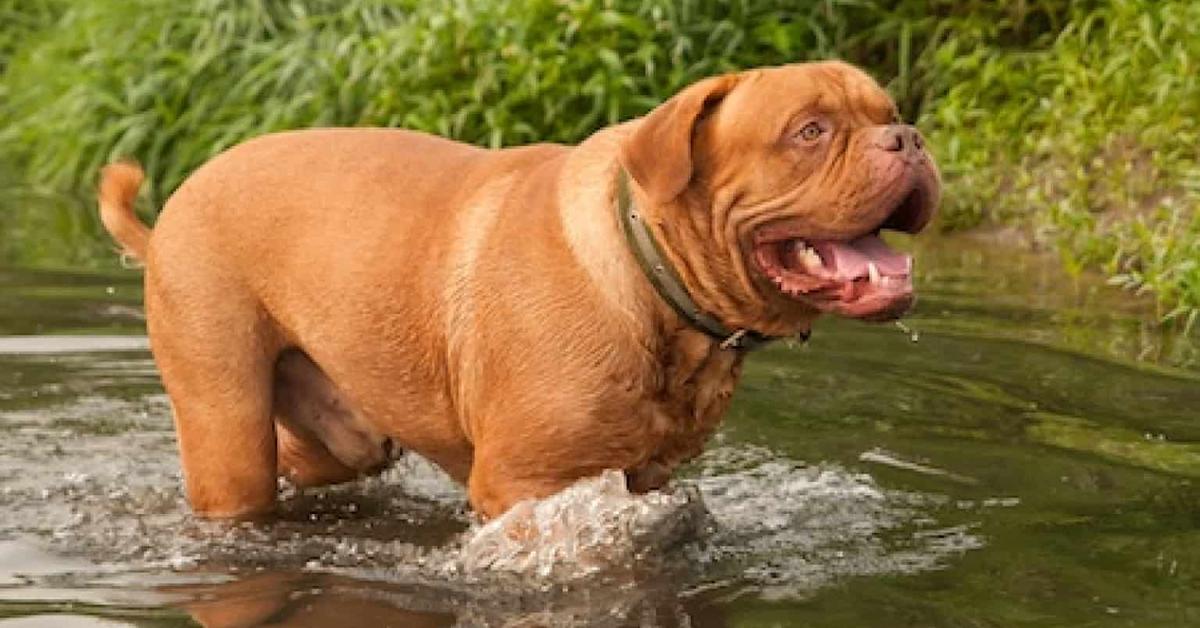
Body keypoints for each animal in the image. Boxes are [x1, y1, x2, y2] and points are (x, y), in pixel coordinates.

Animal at [98, 60, 936, 521]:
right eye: (810, 132)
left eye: (889, 114)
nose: (910, 138)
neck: (650, 278)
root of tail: (172, 207)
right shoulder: (523, 486)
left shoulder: (641, 478)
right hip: (225, 420)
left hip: (341, 433)